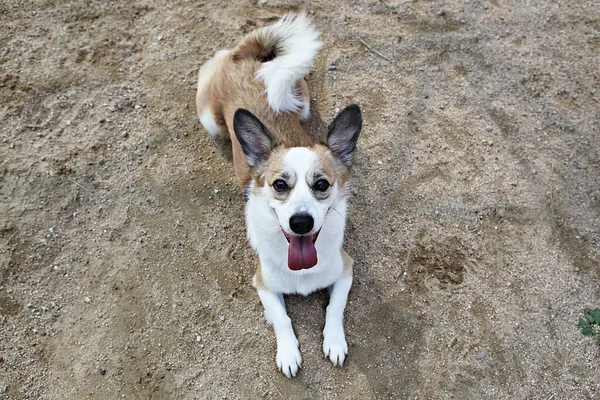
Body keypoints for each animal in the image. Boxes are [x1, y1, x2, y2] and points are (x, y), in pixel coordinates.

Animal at [196, 10, 360, 376]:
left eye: (322, 185)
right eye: (279, 185)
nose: (300, 223)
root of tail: (244, 57)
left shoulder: (345, 270)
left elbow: (334, 308)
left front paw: (334, 342)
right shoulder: (262, 284)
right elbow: (283, 319)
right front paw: (288, 353)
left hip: (302, 100)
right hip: (209, 119)